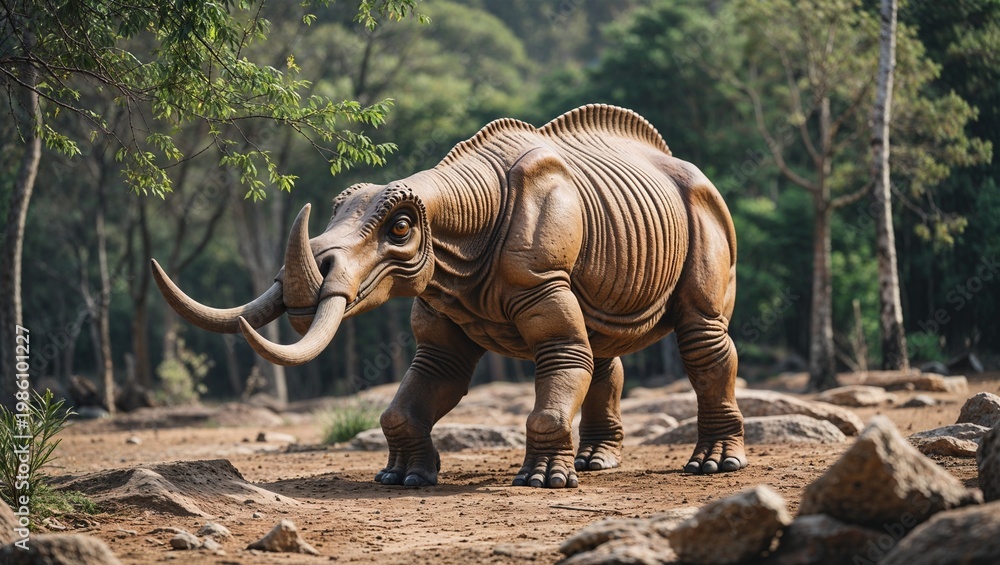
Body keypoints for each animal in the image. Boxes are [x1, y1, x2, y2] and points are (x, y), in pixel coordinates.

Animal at [152, 104, 746, 488]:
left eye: (400, 229)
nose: (308, 280)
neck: (456, 217)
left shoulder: (539, 276)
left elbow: (559, 357)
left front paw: (541, 482)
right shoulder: (442, 293)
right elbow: (428, 381)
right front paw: (402, 477)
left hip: (706, 208)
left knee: (701, 333)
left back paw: (712, 467)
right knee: (599, 347)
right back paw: (596, 465)